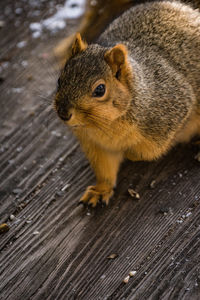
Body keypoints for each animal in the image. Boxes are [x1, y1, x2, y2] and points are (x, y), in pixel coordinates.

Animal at [54, 0, 200, 206]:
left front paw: (130, 154)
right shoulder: (96, 146)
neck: (106, 124)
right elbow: (105, 170)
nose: (63, 113)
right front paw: (100, 190)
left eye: (100, 90)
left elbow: (148, 151)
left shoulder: (172, 112)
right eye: (60, 80)